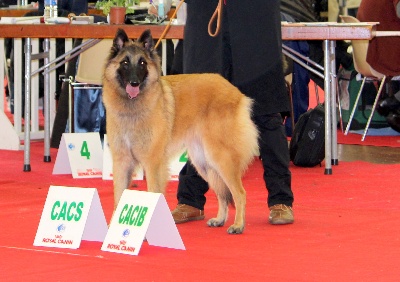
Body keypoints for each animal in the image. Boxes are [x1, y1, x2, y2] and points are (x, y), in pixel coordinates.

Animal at [102, 29, 260, 234]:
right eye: (125, 63)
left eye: (142, 63)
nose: (134, 83)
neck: (132, 108)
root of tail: (235, 91)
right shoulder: (122, 162)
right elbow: (119, 196)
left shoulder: (153, 164)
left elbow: (153, 192)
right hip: (204, 163)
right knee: (222, 193)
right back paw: (220, 219)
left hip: (221, 157)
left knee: (240, 193)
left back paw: (238, 225)